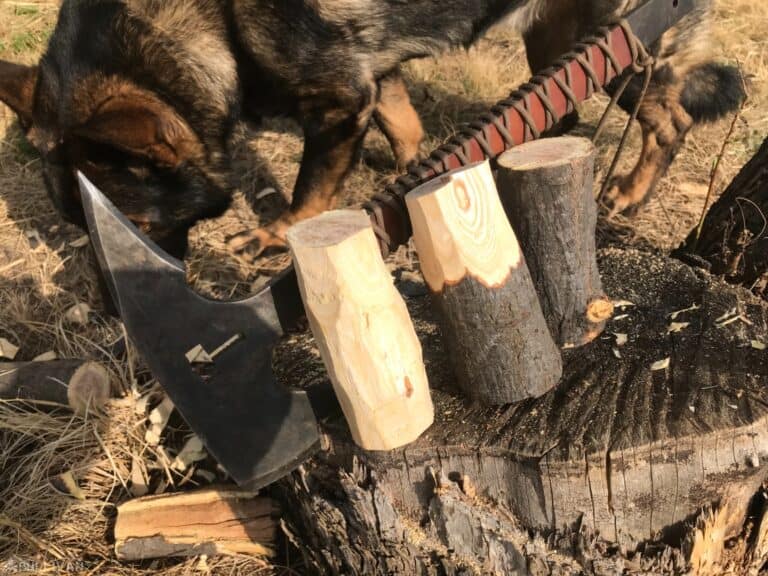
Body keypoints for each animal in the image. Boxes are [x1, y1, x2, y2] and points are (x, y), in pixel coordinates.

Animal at [0, 0, 744, 260]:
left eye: (141, 228)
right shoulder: (372, 81)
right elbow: (406, 128)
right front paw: (418, 177)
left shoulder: (337, 105)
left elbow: (310, 193)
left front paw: (275, 236)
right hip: (556, 38)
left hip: (619, 47)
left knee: (672, 116)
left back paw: (629, 194)